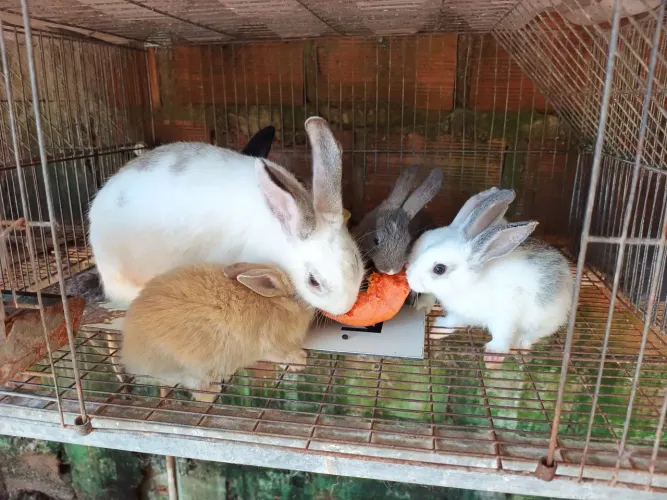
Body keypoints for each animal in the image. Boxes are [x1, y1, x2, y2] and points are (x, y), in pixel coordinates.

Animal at [120, 262, 314, 403]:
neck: (279, 304)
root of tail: (131, 355)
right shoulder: (270, 346)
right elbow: (282, 356)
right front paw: (300, 361)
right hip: (194, 369)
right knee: (200, 393)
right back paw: (214, 391)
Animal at [406, 188, 574, 367]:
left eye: (439, 269)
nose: (409, 277)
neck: (469, 285)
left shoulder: (504, 316)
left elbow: (502, 336)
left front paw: (493, 356)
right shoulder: (459, 313)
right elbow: (452, 322)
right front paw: (436, 330)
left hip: (546, 315)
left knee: (539, 332)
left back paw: (521, 342)